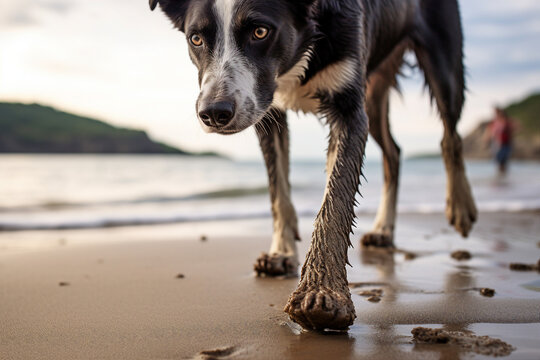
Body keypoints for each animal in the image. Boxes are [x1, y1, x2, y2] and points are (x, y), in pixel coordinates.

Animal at [150, 0, 478, 330]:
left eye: (260, 31)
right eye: (196, 39)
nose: (214, 113)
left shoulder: (349, 109)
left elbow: (335, 201)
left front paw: (323, 292)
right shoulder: (269, 113)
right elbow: (278, 191)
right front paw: (282, 253)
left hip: (441, 65)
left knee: (450, 137)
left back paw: (460, 206)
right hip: (374, 90)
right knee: (394, 153)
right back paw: (383, 229)